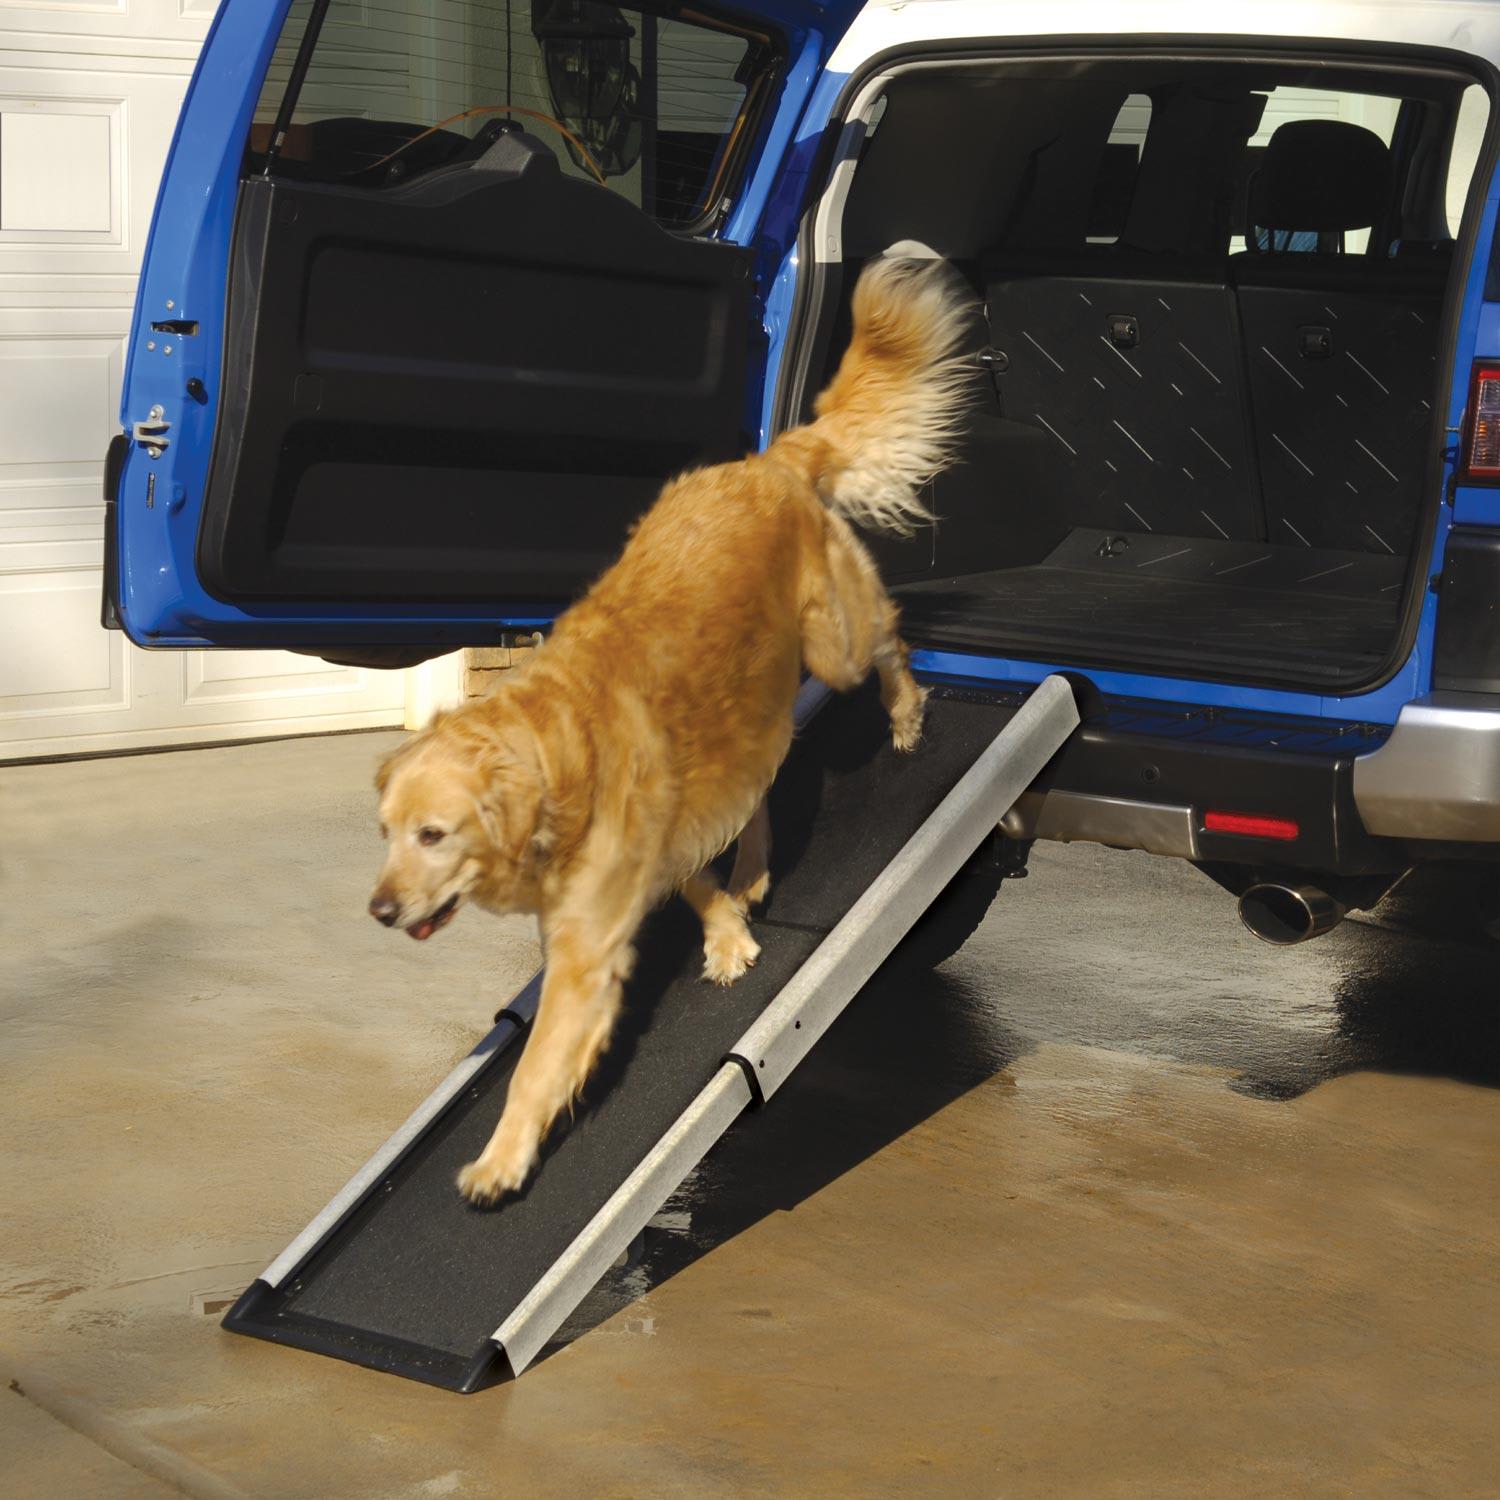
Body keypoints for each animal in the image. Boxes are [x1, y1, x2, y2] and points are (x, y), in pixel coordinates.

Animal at [369, 252, 966, 1200]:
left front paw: (500, 1161)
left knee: (886, 640)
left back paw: (907, 710)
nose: (381, 909)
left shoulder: (582, 957)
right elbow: (692, 876)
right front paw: (728, 934)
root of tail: (766, 460)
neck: (554, 760)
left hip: (831, 643)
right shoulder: (655, 840)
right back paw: (753, 870)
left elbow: (536, 1069)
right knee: (762, 779)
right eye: (385, 833)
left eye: (434, 834)